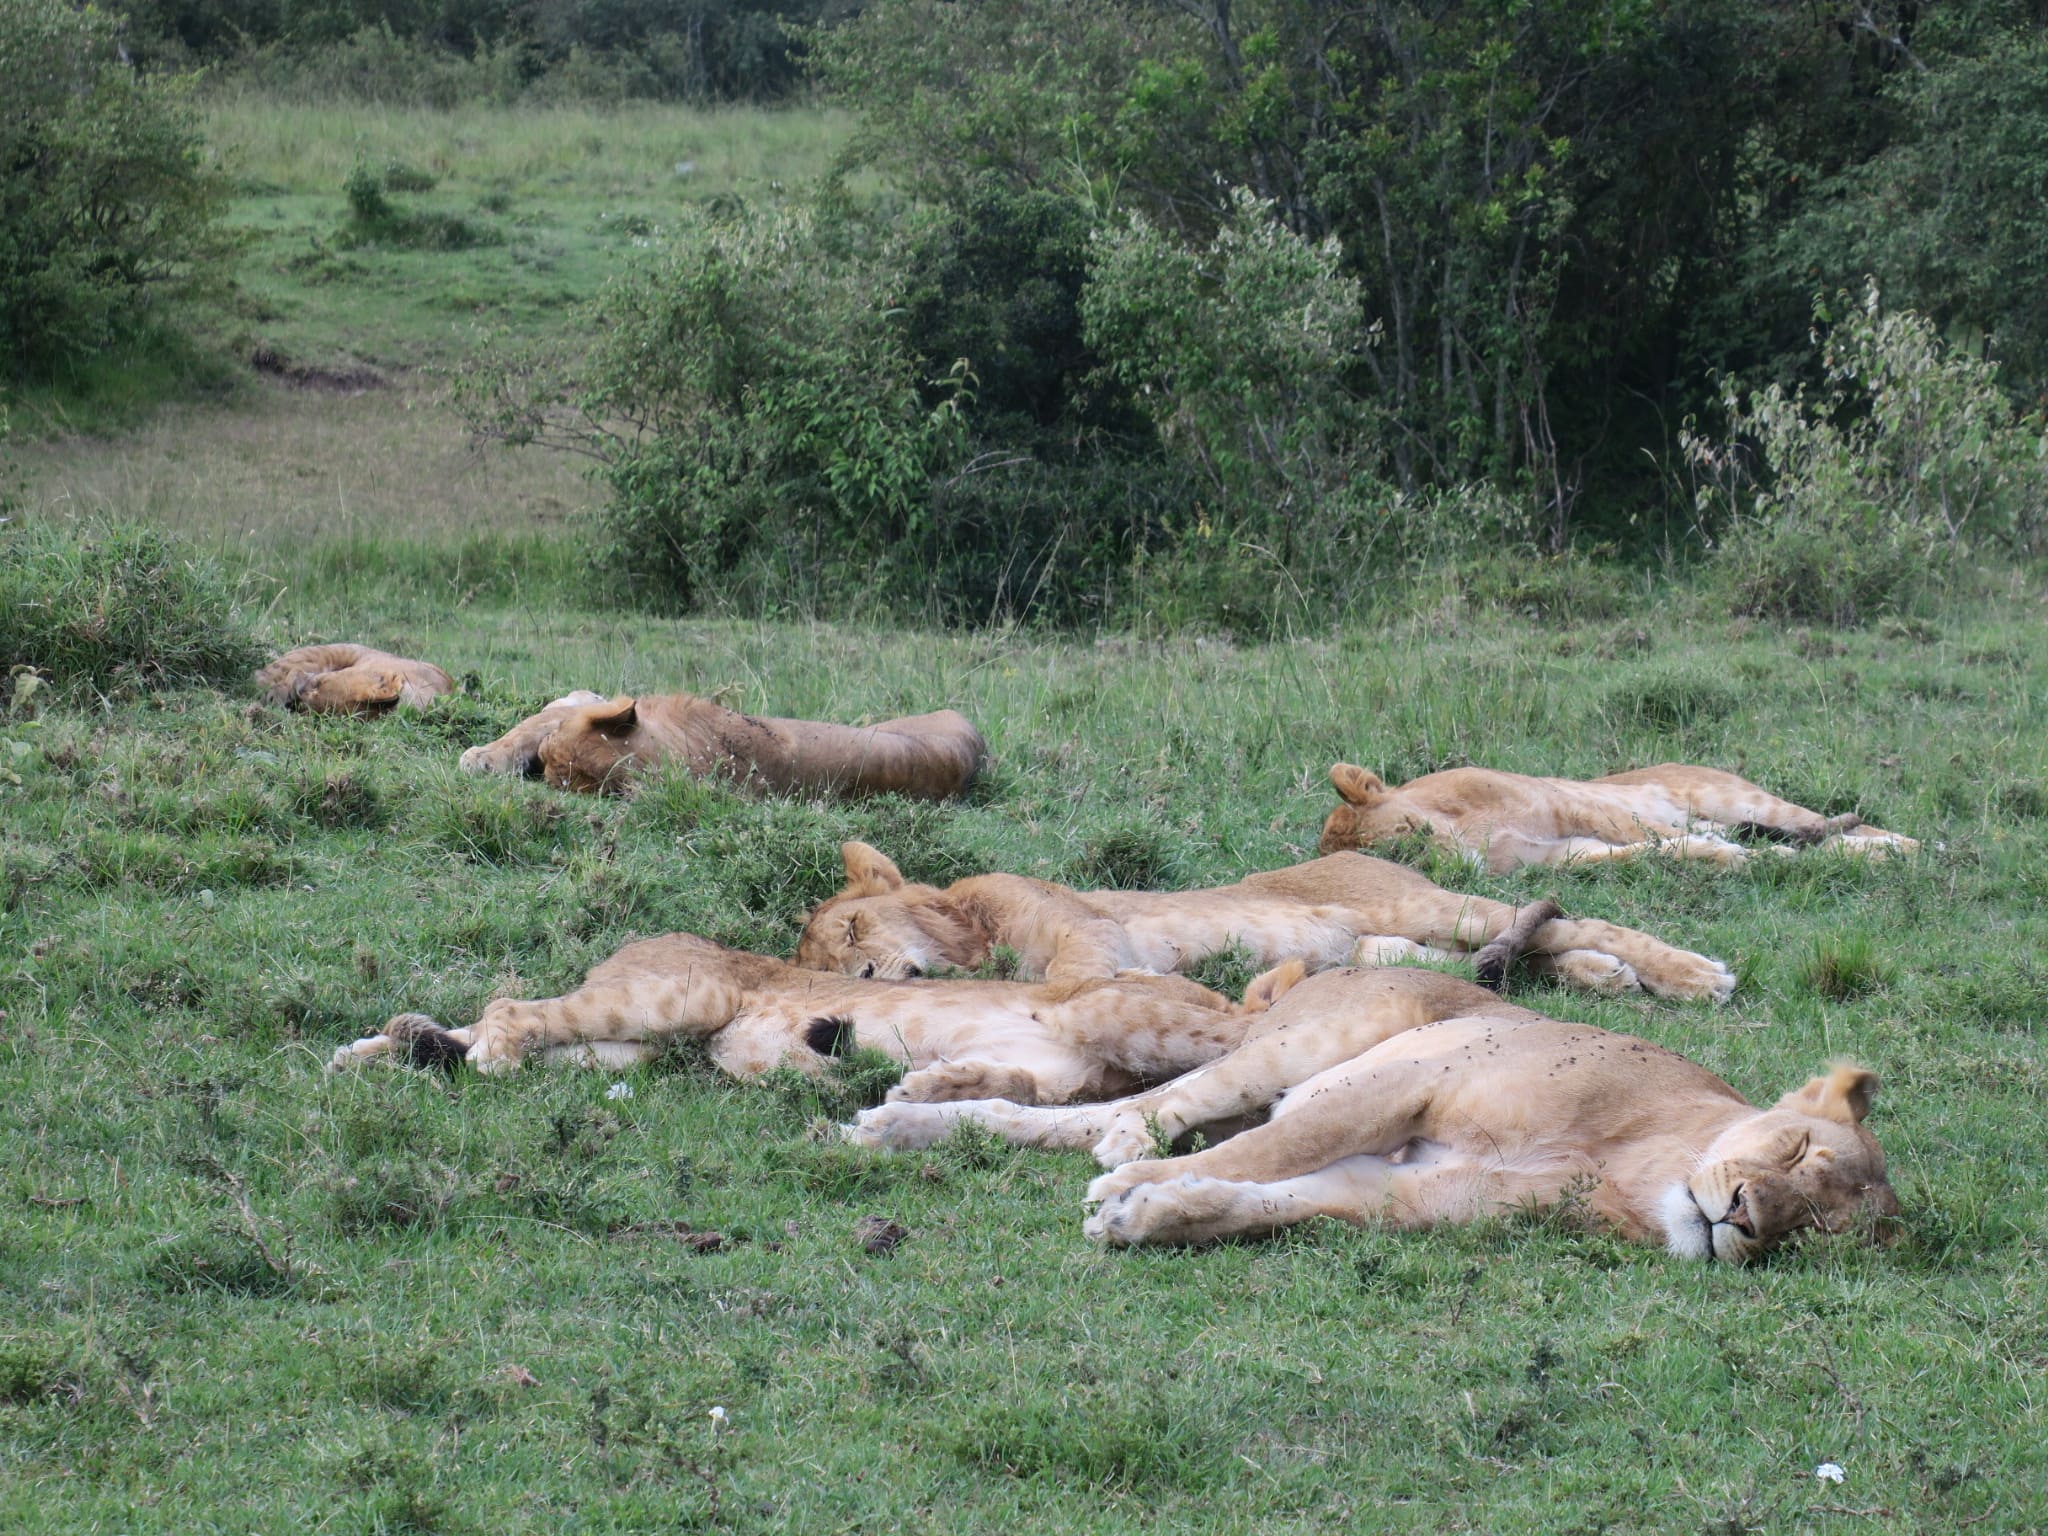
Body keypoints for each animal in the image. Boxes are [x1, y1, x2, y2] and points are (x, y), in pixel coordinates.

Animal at [844, 966, 1901, 1262]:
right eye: (1793, 1149)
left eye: (1812, 1233)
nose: (1743, 1219)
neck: (1638, 1172)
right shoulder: (1409, 1084)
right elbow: (1283, 1148)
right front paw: (1133, 1186)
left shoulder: (1409, 1194)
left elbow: (1267, 1198)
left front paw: (1147, 1214)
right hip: (1328, 1037)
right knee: (1168, 1105)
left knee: (1086, 1120)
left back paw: (902, 1123)